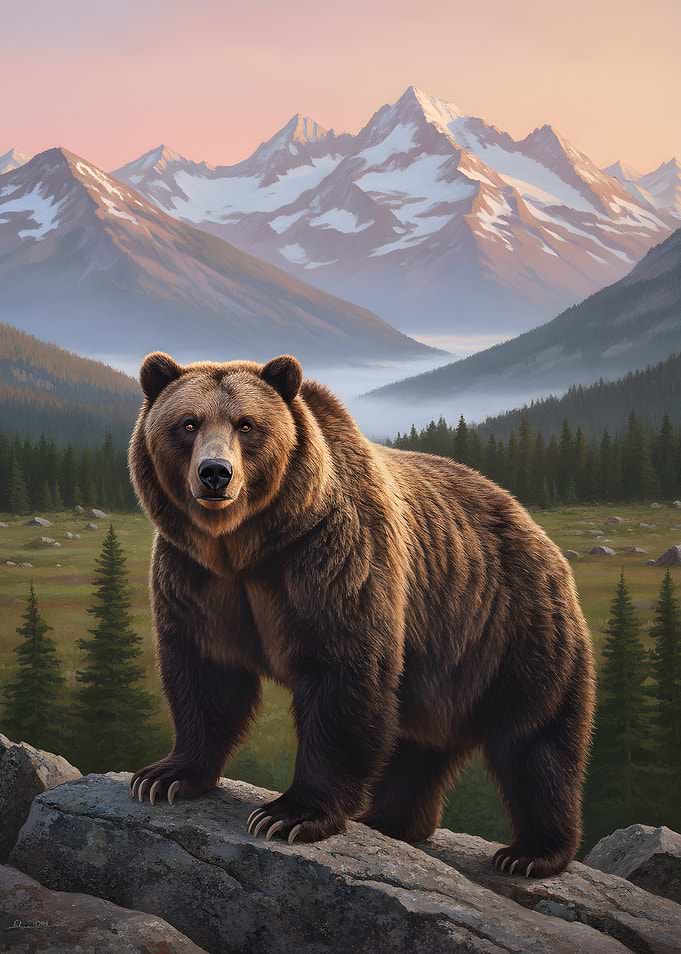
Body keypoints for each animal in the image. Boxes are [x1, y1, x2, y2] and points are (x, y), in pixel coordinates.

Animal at [129, 351, 595, 877]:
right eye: (188, 423)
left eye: (246, 424)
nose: (215, 473)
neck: (246, 545)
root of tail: (541, 536)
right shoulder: (195, 577)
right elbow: (205, 671)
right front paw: (164, 776)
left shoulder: (332, 557)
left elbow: (343, 672)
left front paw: (290, 814)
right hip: (440, 667)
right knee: (417, 744)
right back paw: (390, 819)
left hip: (513, 627)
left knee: (534, 740)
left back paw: (531, 853)